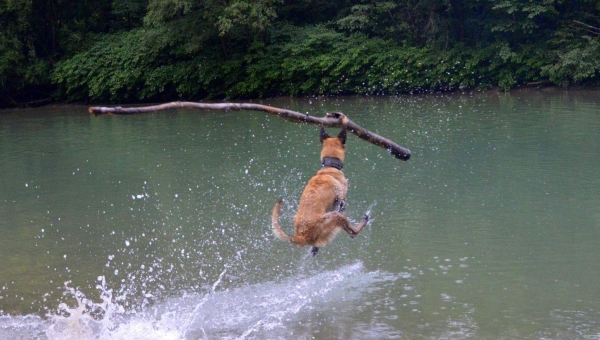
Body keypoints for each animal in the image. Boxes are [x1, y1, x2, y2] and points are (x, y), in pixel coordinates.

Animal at [272, 113, 370, 256]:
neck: (330, 166)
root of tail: (301, 235)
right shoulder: (341, 201)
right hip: (335, 217)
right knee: (353, 232)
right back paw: (364, 220)